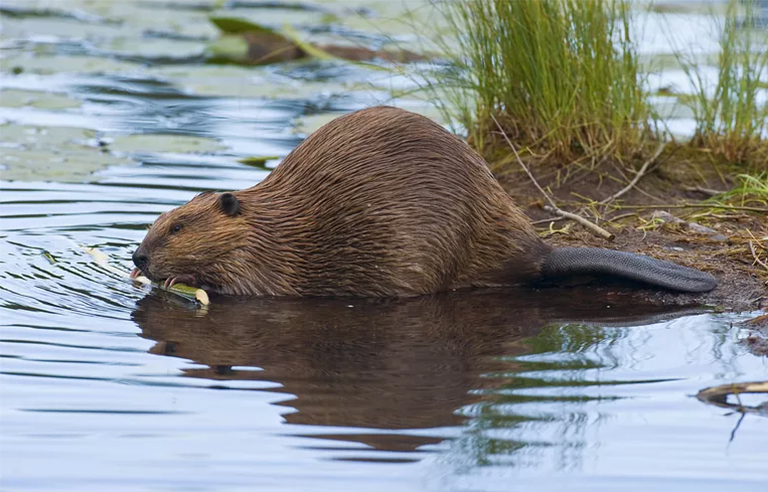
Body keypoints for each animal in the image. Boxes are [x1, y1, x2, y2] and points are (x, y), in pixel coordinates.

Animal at [130, 105, 712, 296]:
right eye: (160, 219)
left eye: (178, 227)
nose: (138, 254)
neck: (269, 223)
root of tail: (541, 253)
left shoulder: (270, 260)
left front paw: (177, 280)